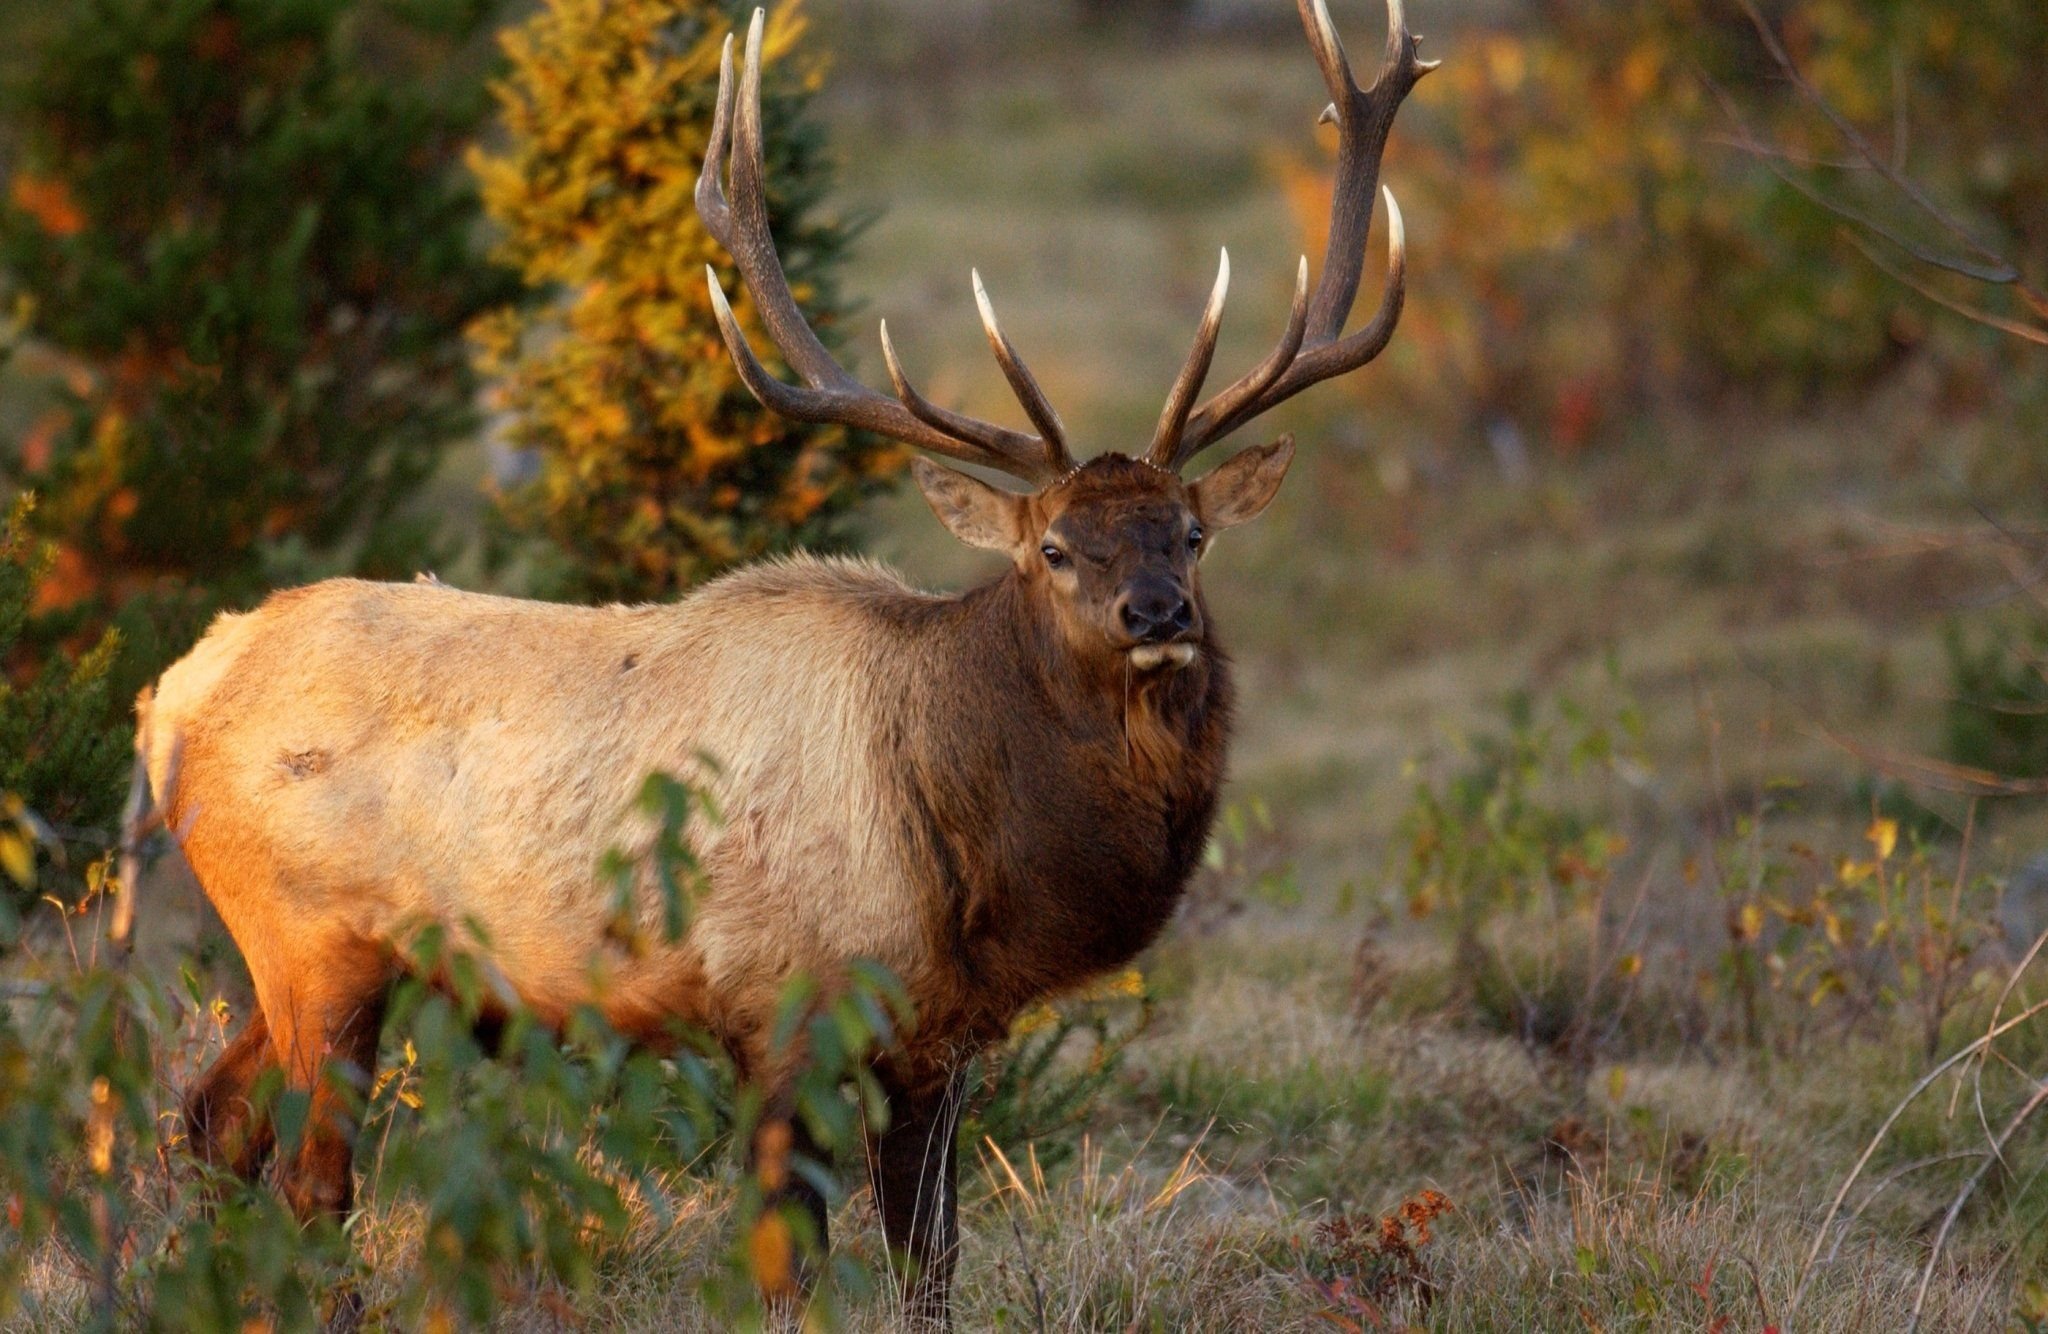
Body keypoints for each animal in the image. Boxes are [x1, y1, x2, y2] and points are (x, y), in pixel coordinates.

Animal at [140, 0, 1425, 1327]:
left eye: (1191, 530)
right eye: (1055, 547)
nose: (1155, 608)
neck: (960, 848)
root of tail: (170, 697)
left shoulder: (938, 1040)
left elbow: (930, 1263)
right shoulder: (777, 1005)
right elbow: (786, 1264)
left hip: (317, 957)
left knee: (212, 1116)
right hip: (312, 936)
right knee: (310, 1179)